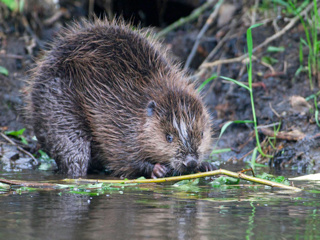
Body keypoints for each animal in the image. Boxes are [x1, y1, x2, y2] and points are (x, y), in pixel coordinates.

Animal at [26, 19, 215, 178]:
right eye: (168, 137)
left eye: (202, 133)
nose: (190, 161)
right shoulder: (116, 121)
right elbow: (123, 157)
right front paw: (157, 169)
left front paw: (206, 166)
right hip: (58, 107)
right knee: (73, 152)